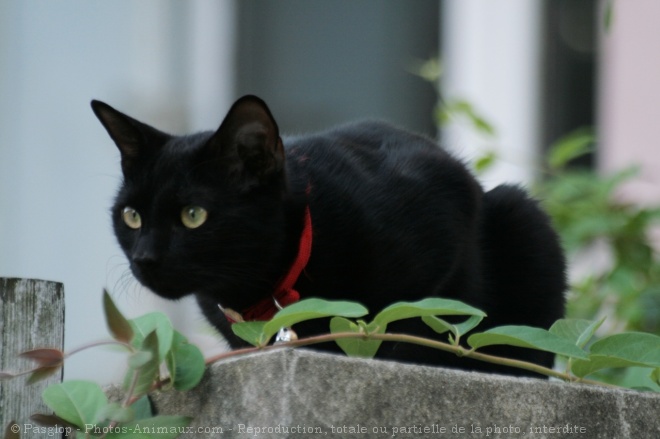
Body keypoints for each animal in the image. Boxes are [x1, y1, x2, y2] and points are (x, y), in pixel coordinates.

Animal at [91, 94, 568, 376]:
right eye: (131, 217)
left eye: (194, 215)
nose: (145, 258)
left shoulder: (446, 202)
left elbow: (410, 330)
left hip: (520, 212)